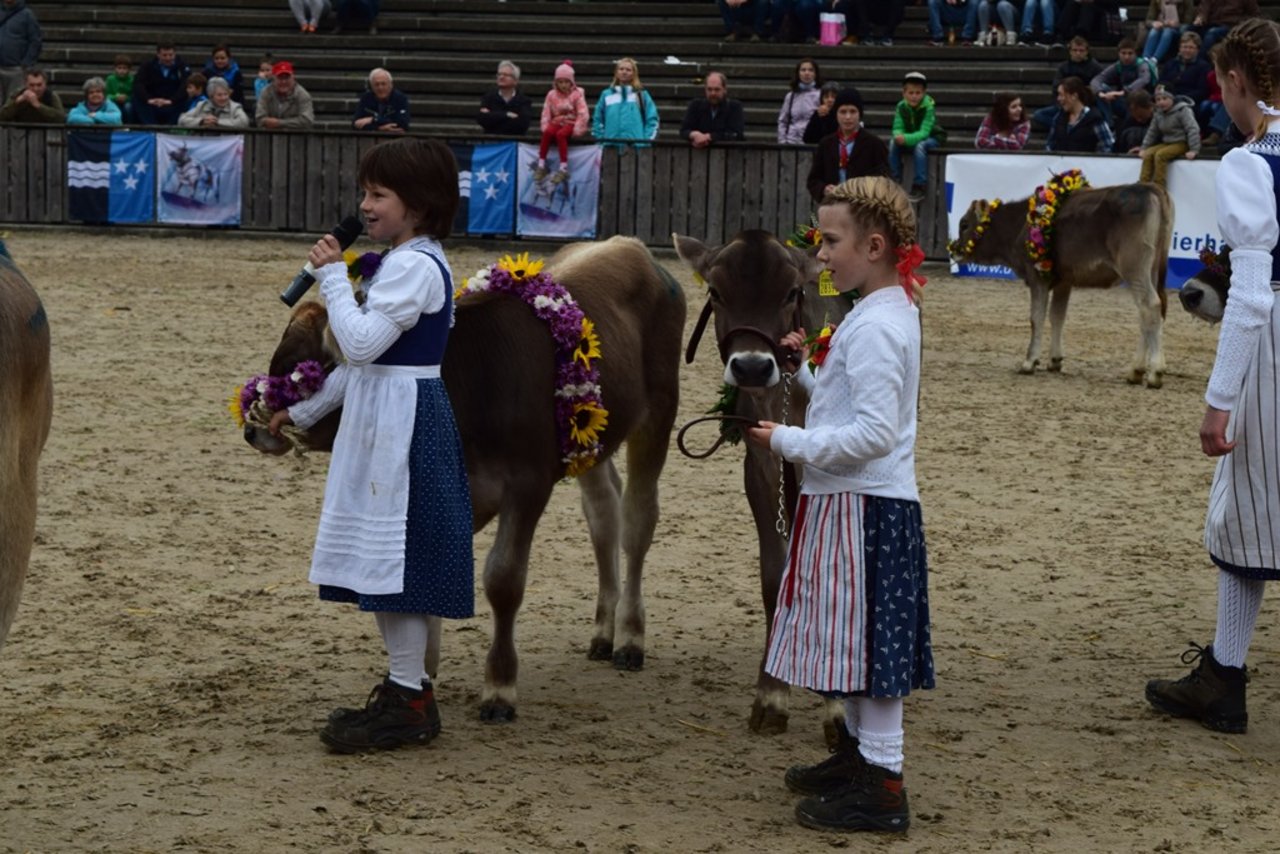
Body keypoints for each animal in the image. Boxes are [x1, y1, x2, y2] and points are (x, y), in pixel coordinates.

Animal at [947, 185, 1172, 389]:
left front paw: (1029, 362)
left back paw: (1154, 373)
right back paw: (1136, 371)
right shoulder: (1064, 281)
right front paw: (1054, 360)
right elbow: (1057, 316)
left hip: (1134, 267)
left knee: (1150, 306)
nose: (954, 249)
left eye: (964, 224)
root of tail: (1149, 188)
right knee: (1150, 313)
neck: (1020, 224)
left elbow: (1036, 318)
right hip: (1151, 269)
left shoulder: (1037, 277)